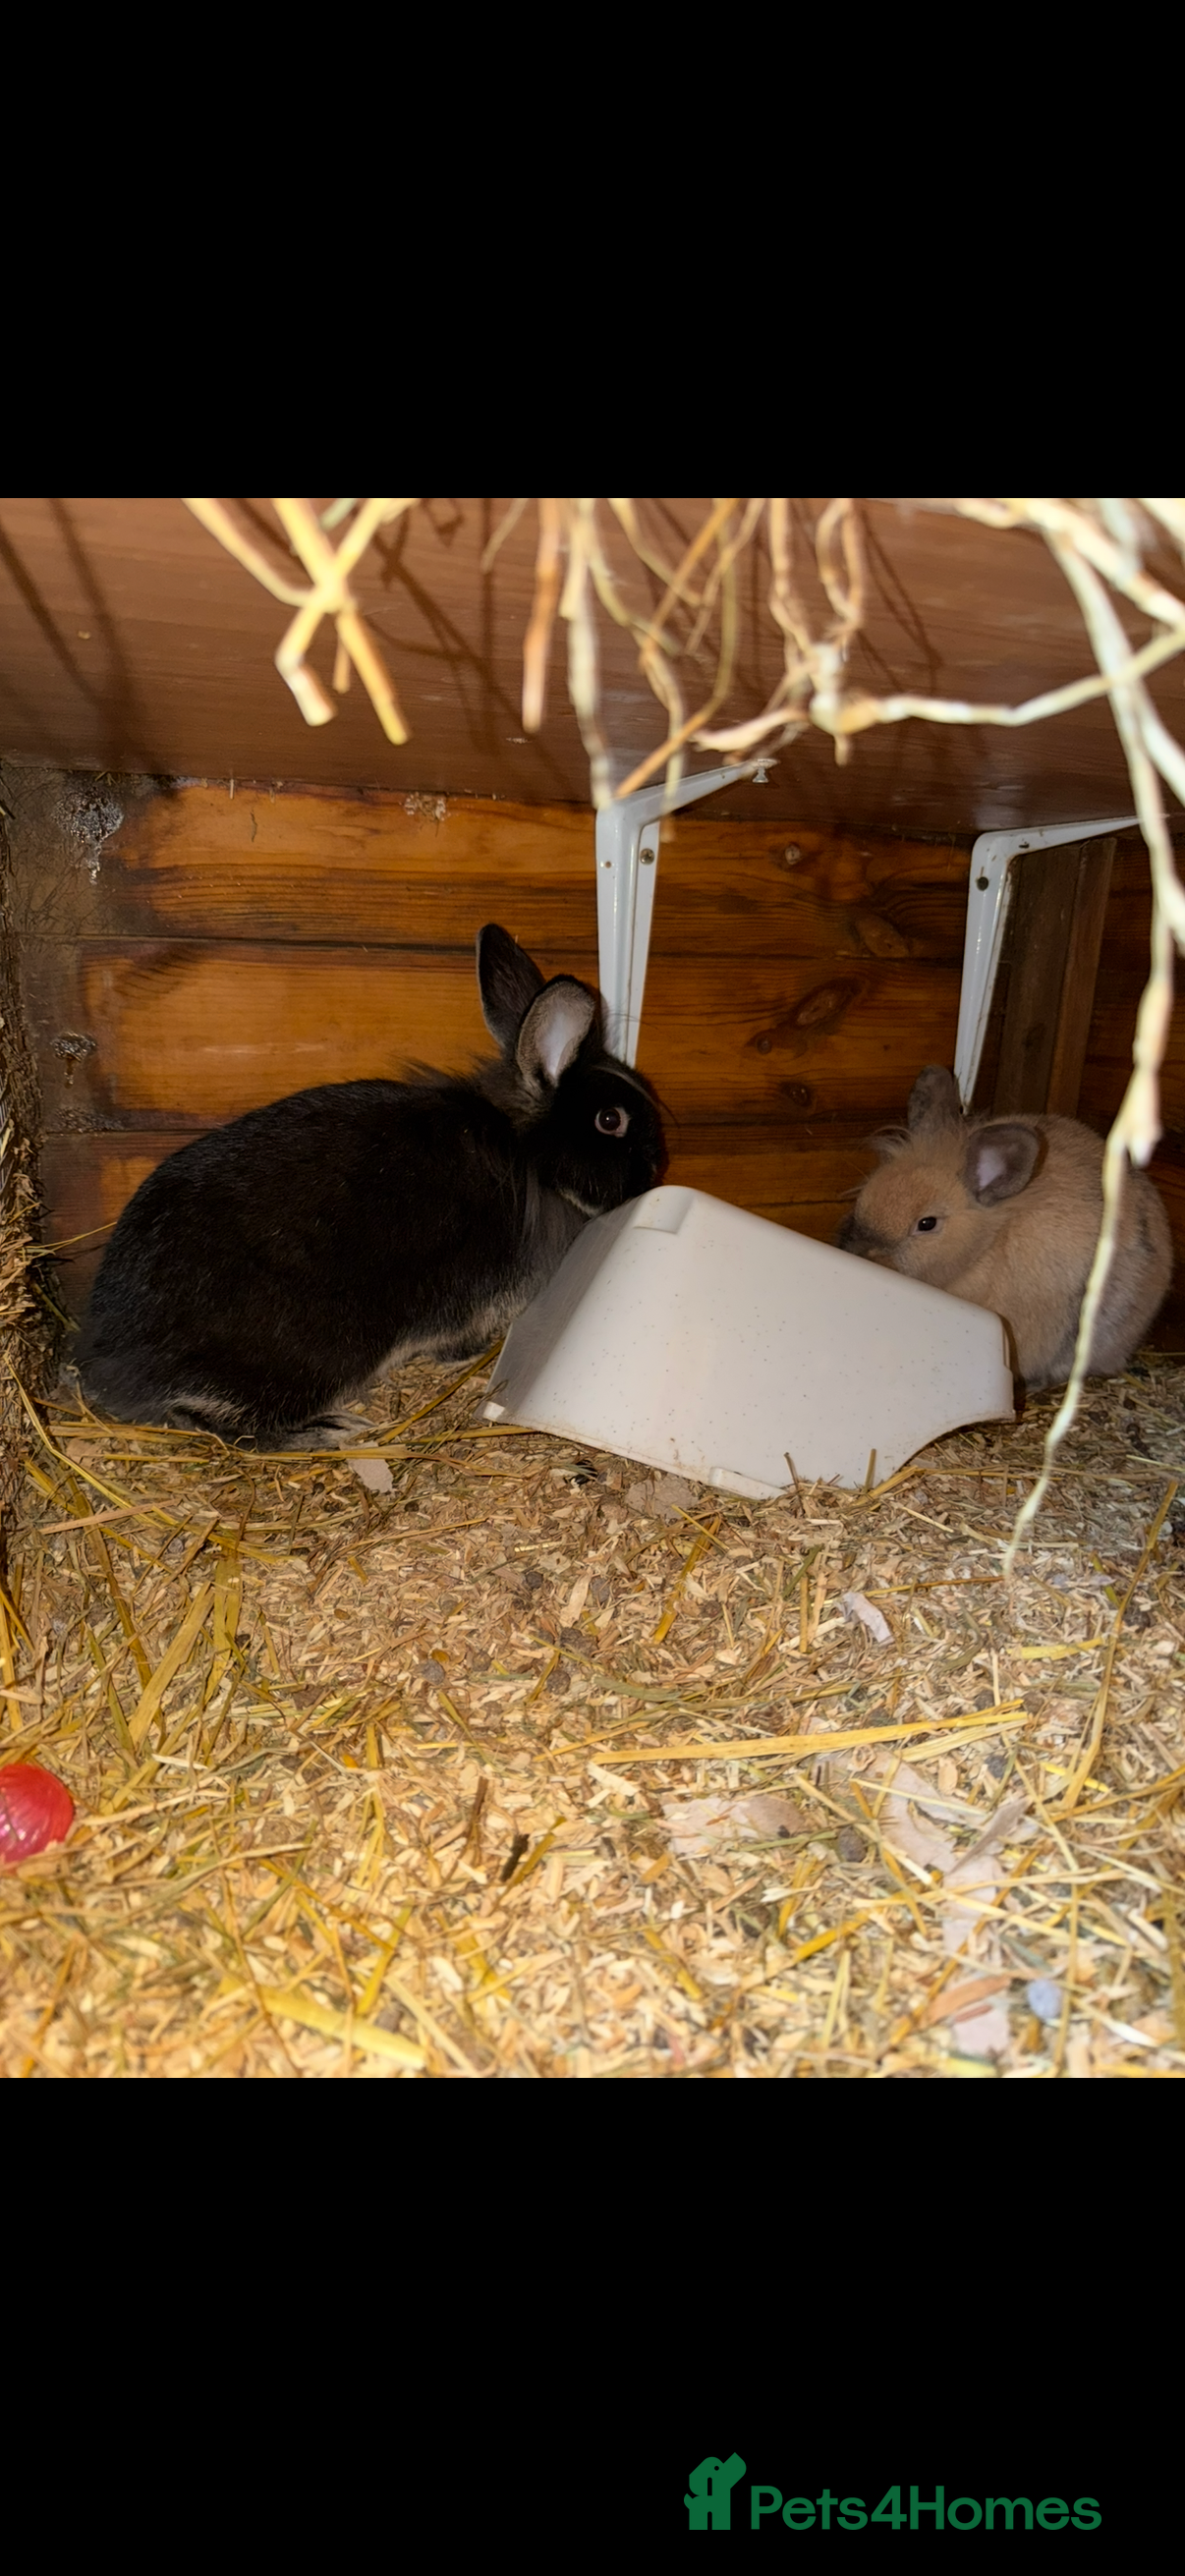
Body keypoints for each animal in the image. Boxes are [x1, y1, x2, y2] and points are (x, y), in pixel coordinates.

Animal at [76, 923, 666, 1445]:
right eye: (610, 1120)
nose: (658, 1167)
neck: (528, 1156)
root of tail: (108, 1364)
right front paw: (466, 1357)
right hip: (308, 1357)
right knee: (214, 1417)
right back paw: (324, 1430)